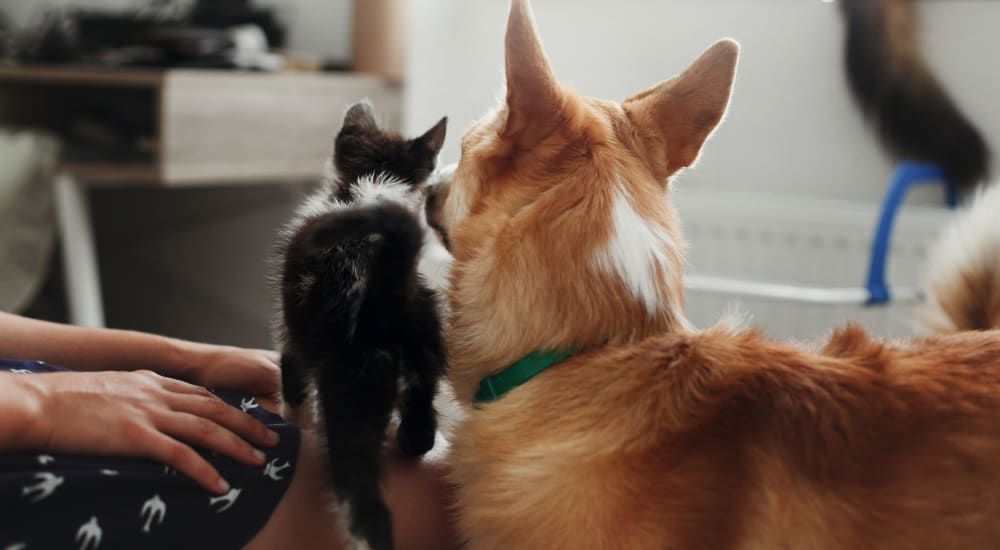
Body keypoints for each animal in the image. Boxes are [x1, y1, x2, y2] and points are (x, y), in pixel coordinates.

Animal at [272, 100, 448, 550]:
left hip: (349, 376)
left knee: (360, 493)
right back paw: (410, 438)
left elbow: (292, 380)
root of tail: (387, 287)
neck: (367, 186)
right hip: (426, 341)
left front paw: (294, 420)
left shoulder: (291, 328)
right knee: (421, 422)